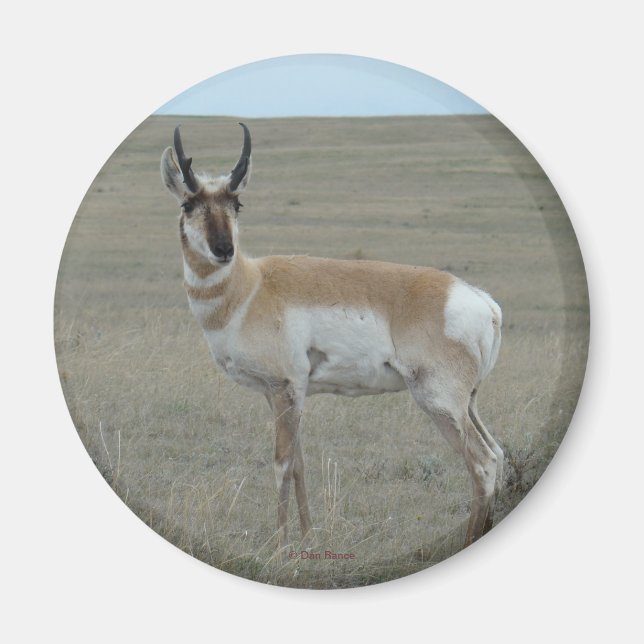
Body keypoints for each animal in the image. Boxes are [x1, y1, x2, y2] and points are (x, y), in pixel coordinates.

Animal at [161, 124, 503, 550]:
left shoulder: (285, 388)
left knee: (482, 463)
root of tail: (480, 301)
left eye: (236, 203)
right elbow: (300, 464)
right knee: (497, 454)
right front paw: (308, 538)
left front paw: (280, 546)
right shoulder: (286, 395)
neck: (251, 286)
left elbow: (281, 463)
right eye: (188, 204)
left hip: (440, 403)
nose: (224, 249)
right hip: (467, 404)